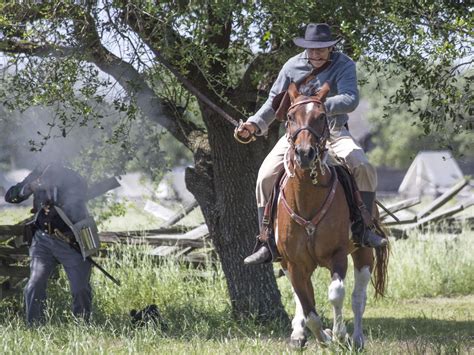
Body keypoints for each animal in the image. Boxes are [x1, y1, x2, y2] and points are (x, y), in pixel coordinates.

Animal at [274, 82, 388, 350]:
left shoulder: (337, 255)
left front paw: (339, 334)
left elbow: (336, 294)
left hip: (363, 253)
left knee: (358, 298)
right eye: (290, 117)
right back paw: (299, 334)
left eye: (321, 116)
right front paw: (321, 336)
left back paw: (357, 338)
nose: (305, 153)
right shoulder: (294, 264)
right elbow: (308, 308)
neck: (307, 198)